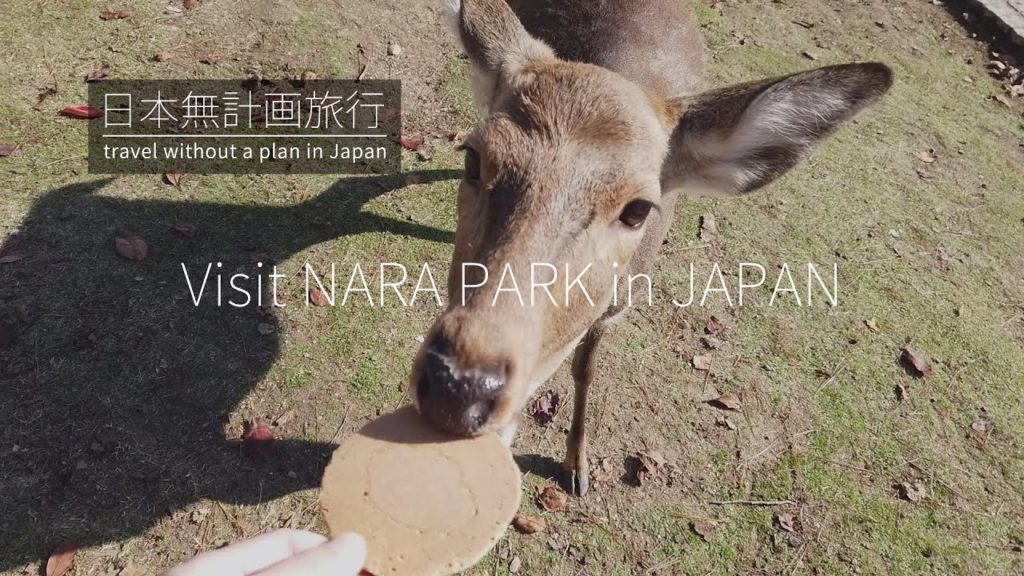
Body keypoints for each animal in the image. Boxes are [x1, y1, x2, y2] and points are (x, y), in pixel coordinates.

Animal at [410, 0, 893, 495]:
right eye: (473, 157)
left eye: (638, 210)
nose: (459, 387)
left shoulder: (618, 307)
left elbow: (585, 370)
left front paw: (578, 467)